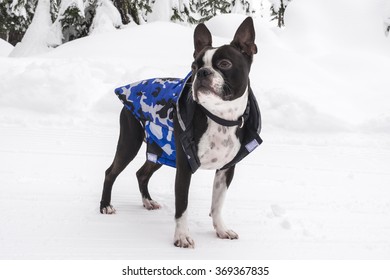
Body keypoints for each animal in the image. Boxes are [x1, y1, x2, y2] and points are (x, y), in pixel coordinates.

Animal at [100, 17, 262, 249]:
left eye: (225, 64)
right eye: (193, 67)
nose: (202, 73)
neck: (219, 117)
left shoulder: (226, 170)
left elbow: (218, 204)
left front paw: (221, 230)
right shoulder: (184, 166)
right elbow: (182, 206)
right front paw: (182, 237)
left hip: (160, 150)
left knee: (142, 173)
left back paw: (148, 201)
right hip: (130, 142)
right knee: (110, 172)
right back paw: (105, 205)